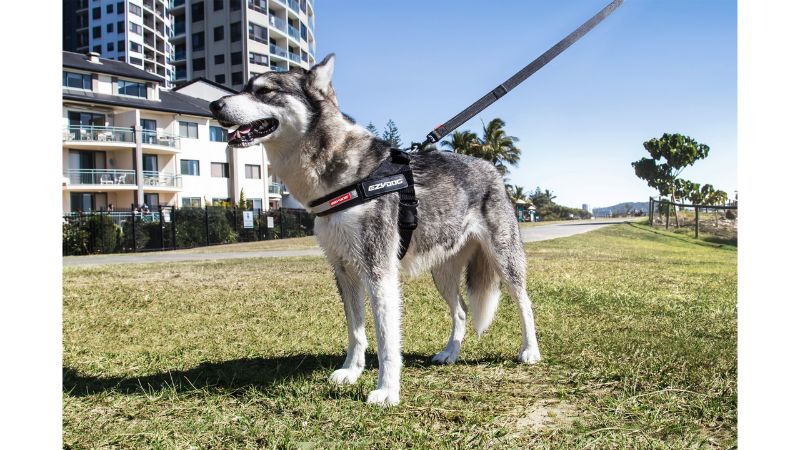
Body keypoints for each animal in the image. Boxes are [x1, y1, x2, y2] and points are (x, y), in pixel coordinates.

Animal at [209, 54, 540, 406]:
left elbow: (386, 340)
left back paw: (530, 351)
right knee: (462, 310)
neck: (344, 175)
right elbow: (356, 332)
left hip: (504, 260)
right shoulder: (344, 271)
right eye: (244, 87)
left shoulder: (379, 271)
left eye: (264, 90)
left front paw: (387, 390)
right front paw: (351, 372)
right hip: (442, 272)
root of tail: (491, 166)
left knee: (524, 302)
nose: (214, 105)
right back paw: (450, 353)